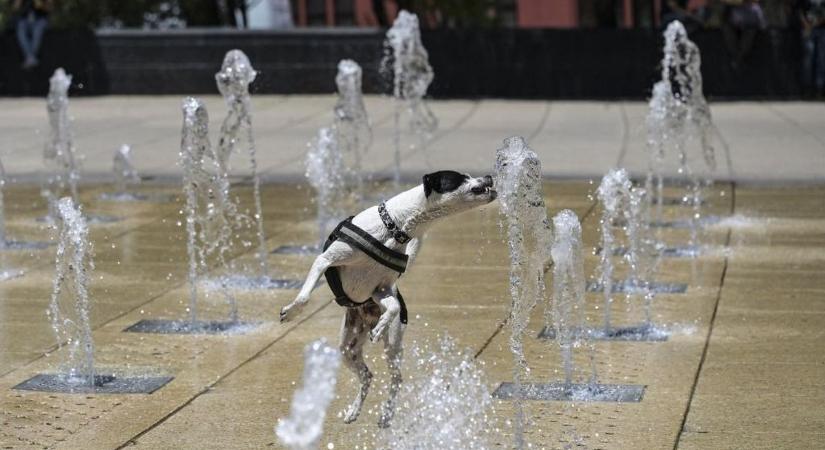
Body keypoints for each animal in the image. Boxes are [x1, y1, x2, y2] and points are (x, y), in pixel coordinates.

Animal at [282, 171, 496, 428]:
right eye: (461, 177)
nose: (489, 176)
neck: (394, 227)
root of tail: (364, 320)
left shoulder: (381, 289)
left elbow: (393, 307)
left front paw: (382, 324)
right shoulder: (325, 261)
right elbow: (304, 296)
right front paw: (292, 312)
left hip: (391, 347)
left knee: (394, 378)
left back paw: (386, 413)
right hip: (347, 348)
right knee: (367, 376)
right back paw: (354, 410)